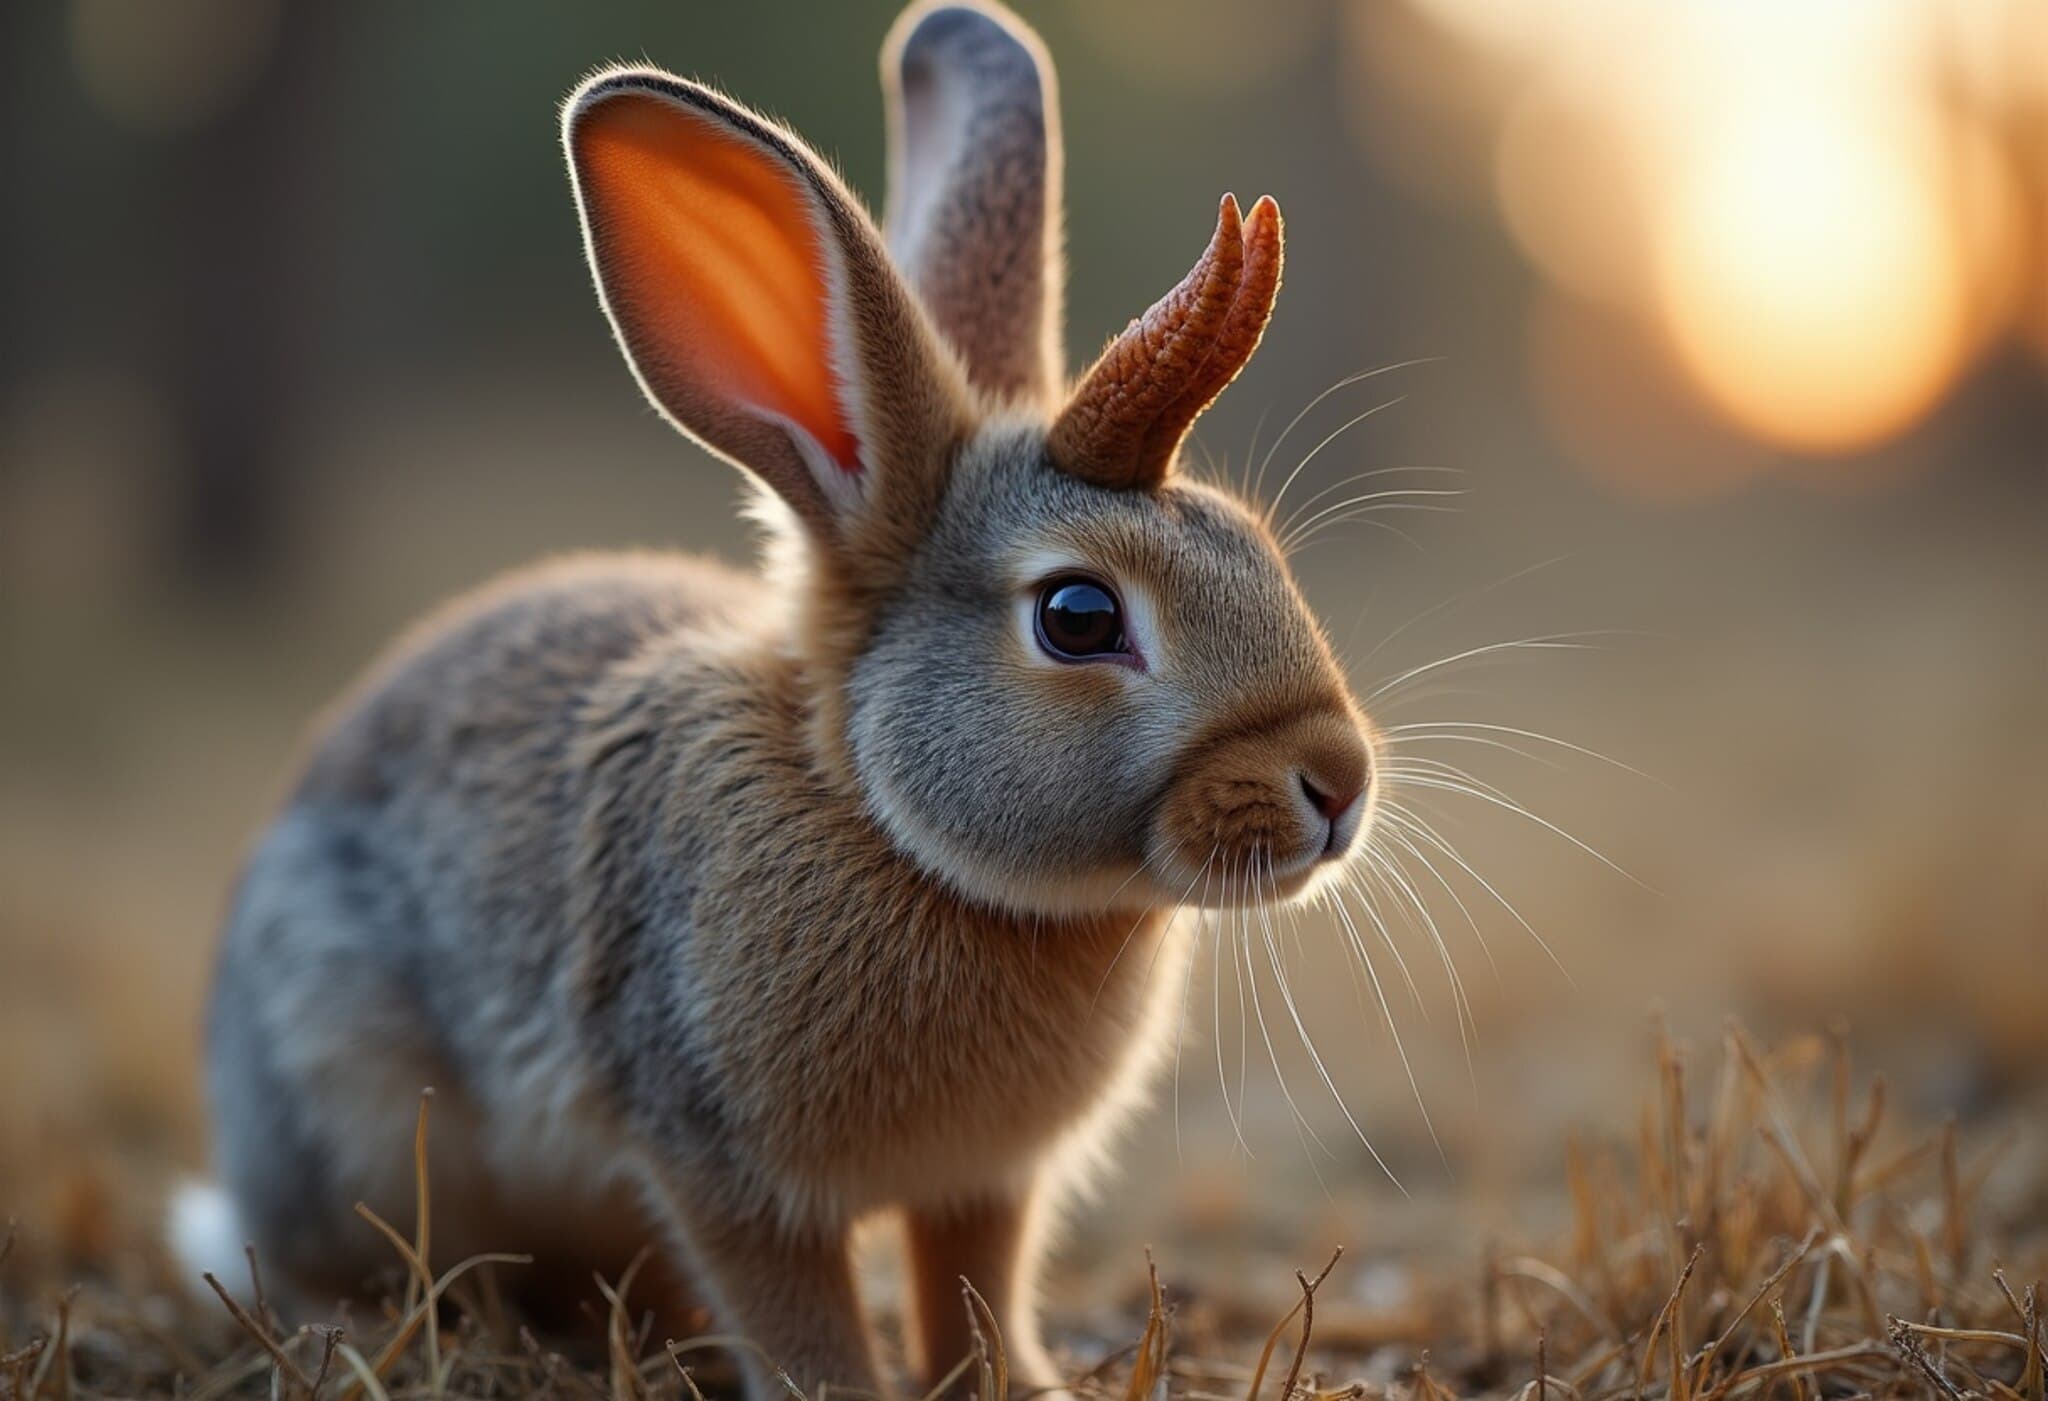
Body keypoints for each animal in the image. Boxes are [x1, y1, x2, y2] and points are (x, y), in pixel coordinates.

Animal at [171, 1, 1378, 1395]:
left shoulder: (983, 1182)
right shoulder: (720, 1163)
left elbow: (973, 1282)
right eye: (1078, 617)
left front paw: (1017, 1381)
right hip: (349, 1104)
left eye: (1253, 544)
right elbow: (793, 1306)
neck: (898, 838)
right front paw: (840, 1389)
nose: (1339, 785)